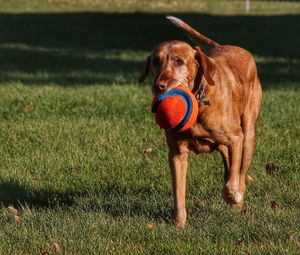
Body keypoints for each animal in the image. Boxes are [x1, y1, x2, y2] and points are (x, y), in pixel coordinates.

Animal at [139, 16, 262, 227]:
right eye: (156, 61)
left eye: (179, 61)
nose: (159, 86)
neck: (198, 102)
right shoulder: (177, 153)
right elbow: (178, 192)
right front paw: (179, 224)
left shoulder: (236, 138)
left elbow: (232, 182)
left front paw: (233, 196)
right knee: (229, 162)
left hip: (248, 137)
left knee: (240, 172)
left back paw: (238, 200)